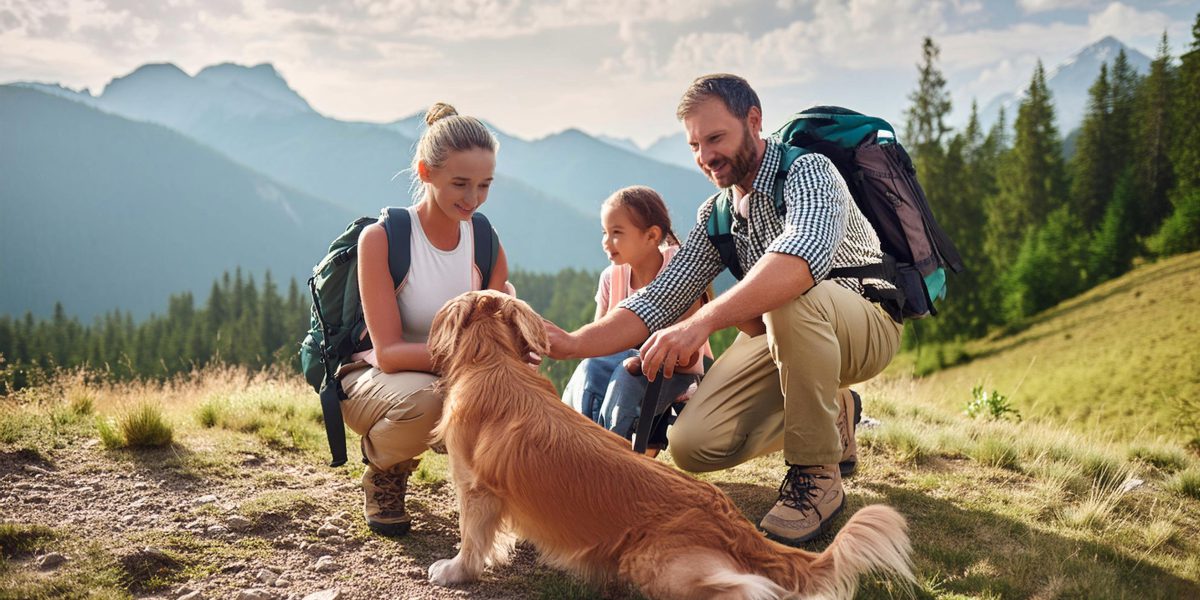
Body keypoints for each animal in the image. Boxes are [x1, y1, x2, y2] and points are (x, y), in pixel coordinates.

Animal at [422, 288, 907, 597]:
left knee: (746, 588)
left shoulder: (475, 489)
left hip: (653, 562)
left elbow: (471, 538)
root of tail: (733, 521)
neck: (492, 361)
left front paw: (455, 570)